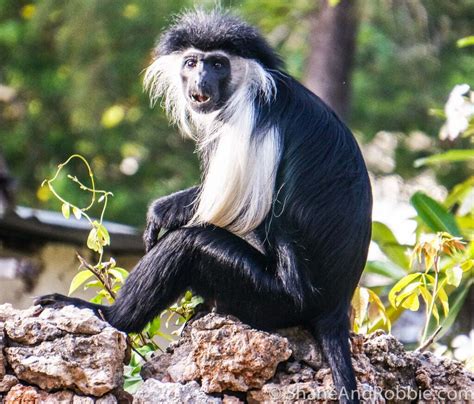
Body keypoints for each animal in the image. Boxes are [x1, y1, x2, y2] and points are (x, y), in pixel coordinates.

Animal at [36, 10, 370, 404]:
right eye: (192, 62)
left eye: (217, 63)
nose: (200, 79)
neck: (254, 83)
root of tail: (334, 307)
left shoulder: (251, 117)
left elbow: (238, 205)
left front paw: (163, 211)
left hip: (275, 297)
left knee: (189, 246)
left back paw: (107, 315)